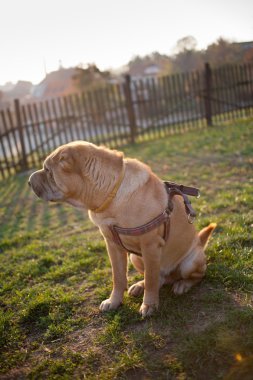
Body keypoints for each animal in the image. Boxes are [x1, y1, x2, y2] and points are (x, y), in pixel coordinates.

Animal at [29, 141, 215, 316]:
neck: (110, 194)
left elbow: (151, 280)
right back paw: (140, 285)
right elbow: (118, 277)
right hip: (136, 258)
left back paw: (182, 285)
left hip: (189, 263)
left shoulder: (150, 245)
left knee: (195, 275)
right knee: (159, 278)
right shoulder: (112, 245)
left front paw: (149, 305)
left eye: (47, 170)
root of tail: (199, 242)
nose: (29, 182)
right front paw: (114, 301)